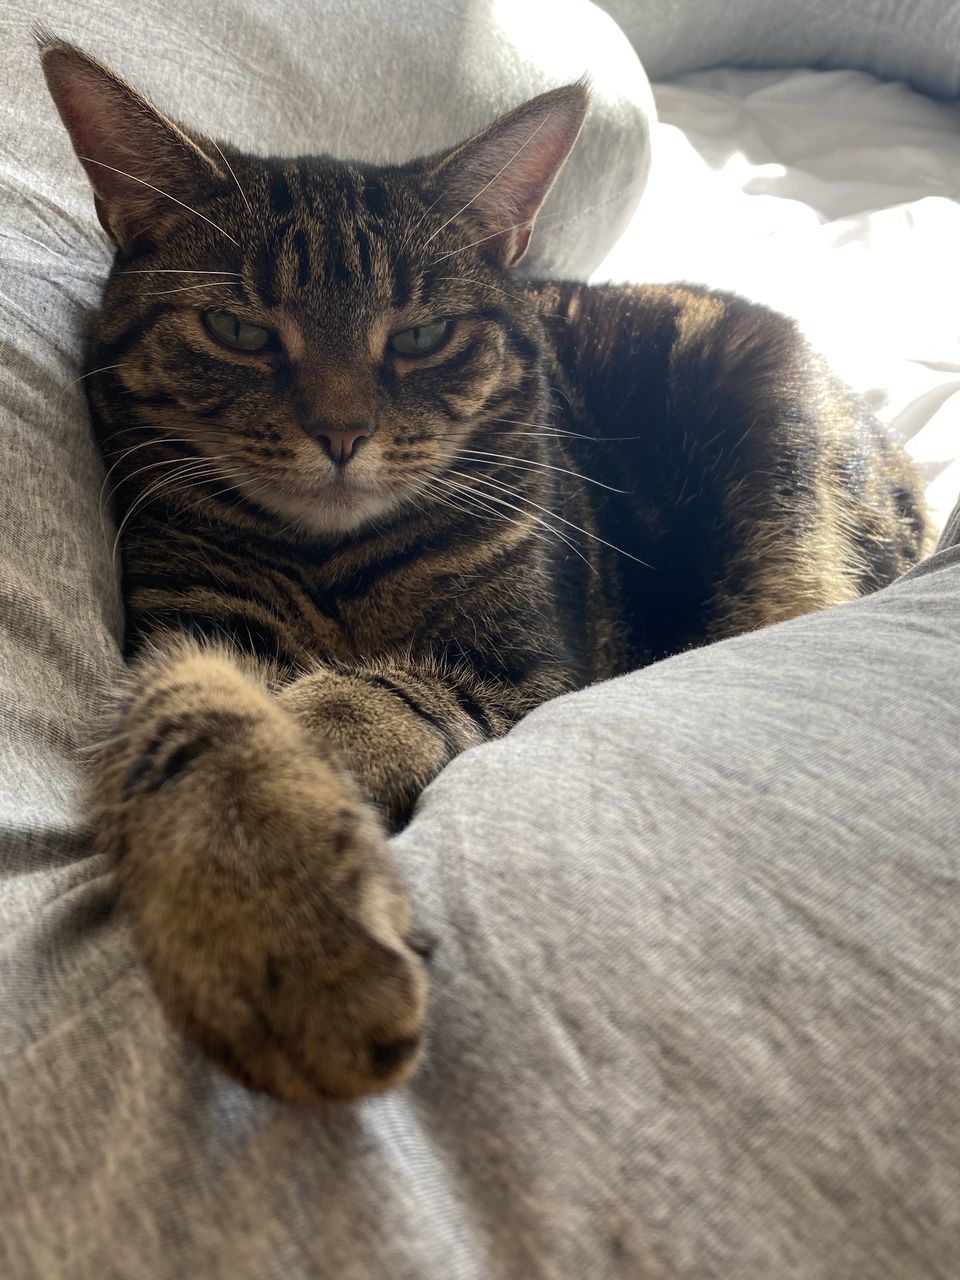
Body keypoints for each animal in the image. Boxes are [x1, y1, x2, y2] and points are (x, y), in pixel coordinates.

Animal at [39, 37, 931, 1100]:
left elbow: (379, 696)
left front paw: (316, 756)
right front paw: (269, 926)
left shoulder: (526, 667)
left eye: (421, 336)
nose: (341, 434)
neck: (336, 560)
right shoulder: (189, 625)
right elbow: (192, 720)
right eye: (242, 331)